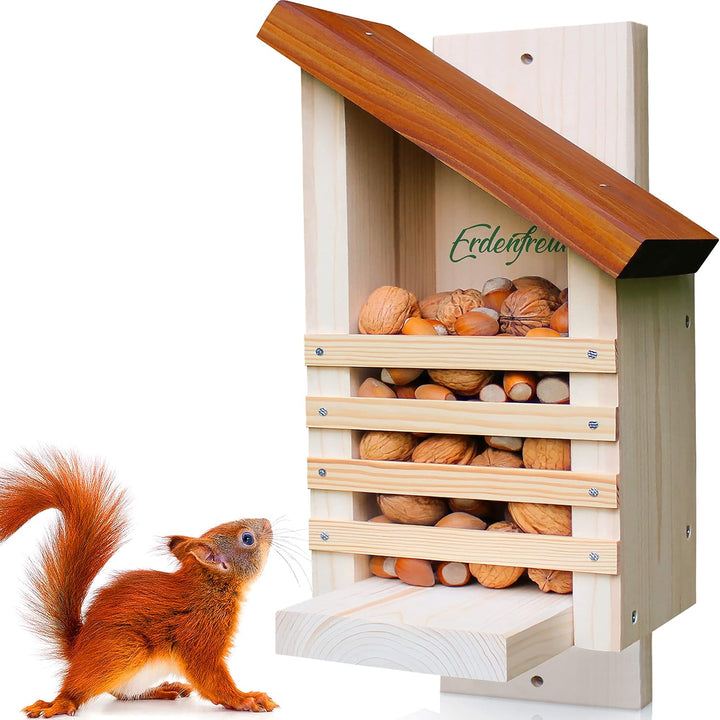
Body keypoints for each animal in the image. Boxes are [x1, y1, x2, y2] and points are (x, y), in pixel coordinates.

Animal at [0, 449, 278, 717]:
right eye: (247, 538)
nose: (267, 521)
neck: (210, 589)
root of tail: (77, 651)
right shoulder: (200, 632)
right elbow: (211, 678)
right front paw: (245, 699)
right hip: (124, 651)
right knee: (79, 689)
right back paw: (60, 702)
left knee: (124, 694)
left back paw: (163, 689)